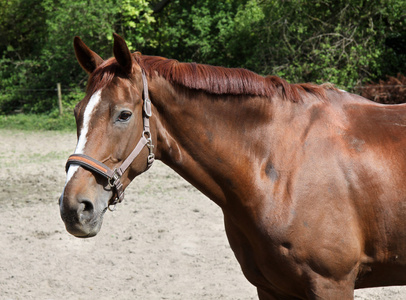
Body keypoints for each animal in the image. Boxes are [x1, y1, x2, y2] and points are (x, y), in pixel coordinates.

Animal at [59, 34, 406, 298]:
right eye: (77, 112)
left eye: (123, 114)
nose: (74, 208)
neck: (282, 167)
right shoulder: (272, 288)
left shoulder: (331, 284)